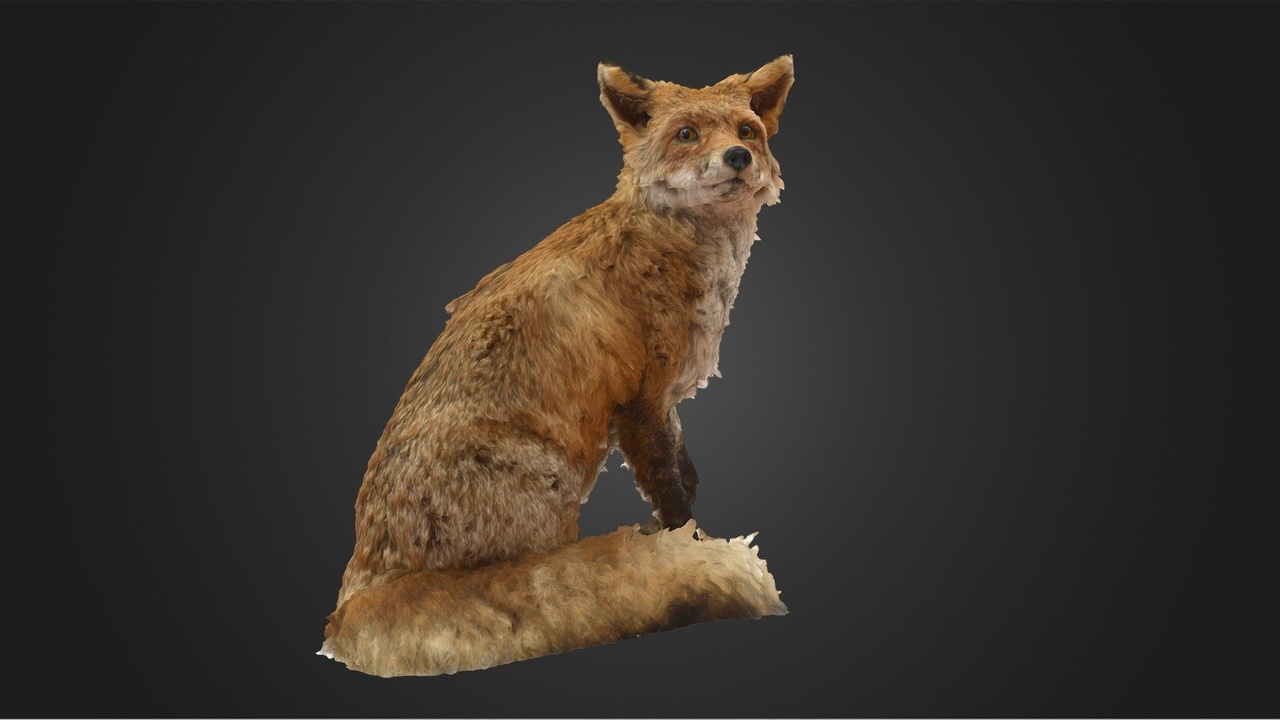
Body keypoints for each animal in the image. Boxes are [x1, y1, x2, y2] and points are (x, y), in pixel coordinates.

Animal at [320, 55, 795, 677]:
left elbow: (686, 475)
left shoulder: (661, 401)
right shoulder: (641, 399)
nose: (738, 157)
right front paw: (685, 540)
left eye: (746, 131)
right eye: (687, 135)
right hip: (554, 477)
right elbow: (673, 493)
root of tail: (361, 588)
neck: (674, 243)